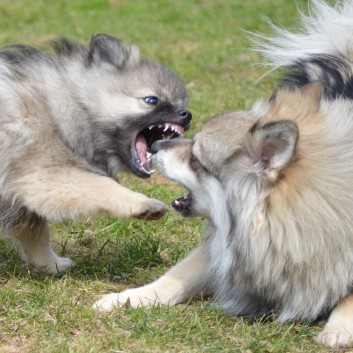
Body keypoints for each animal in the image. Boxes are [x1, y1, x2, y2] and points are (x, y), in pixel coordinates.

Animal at [0, 33, 190, 272]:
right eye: (151, 100)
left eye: (182, 103)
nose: (187, 115)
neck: (62, 109)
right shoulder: (44, 175)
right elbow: (103, 185)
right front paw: (143, 203)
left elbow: (35, 232)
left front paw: (51, 264)